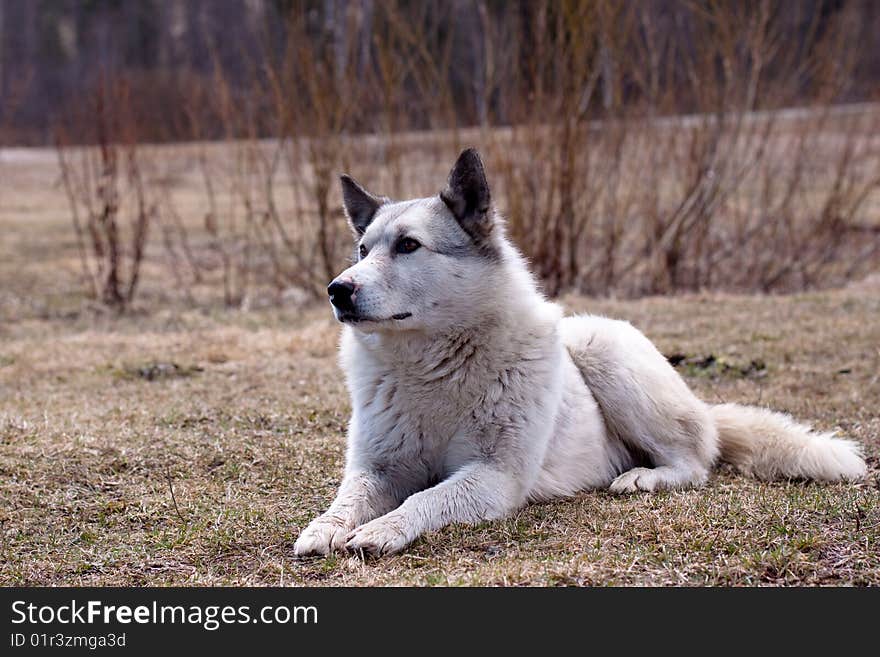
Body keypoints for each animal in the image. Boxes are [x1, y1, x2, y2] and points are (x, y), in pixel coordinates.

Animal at [294, 146, 868, 556]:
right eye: (362, 251)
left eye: (409, 245)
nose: (337, 290)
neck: (431, 366)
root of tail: (704, 409)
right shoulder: (377, 469)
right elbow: (349, 498)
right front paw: (325, 528)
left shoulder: (493, 478)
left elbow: (425, 496)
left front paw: (382, 529)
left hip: (603, 349)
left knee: (694, 462)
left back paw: (642, 477)